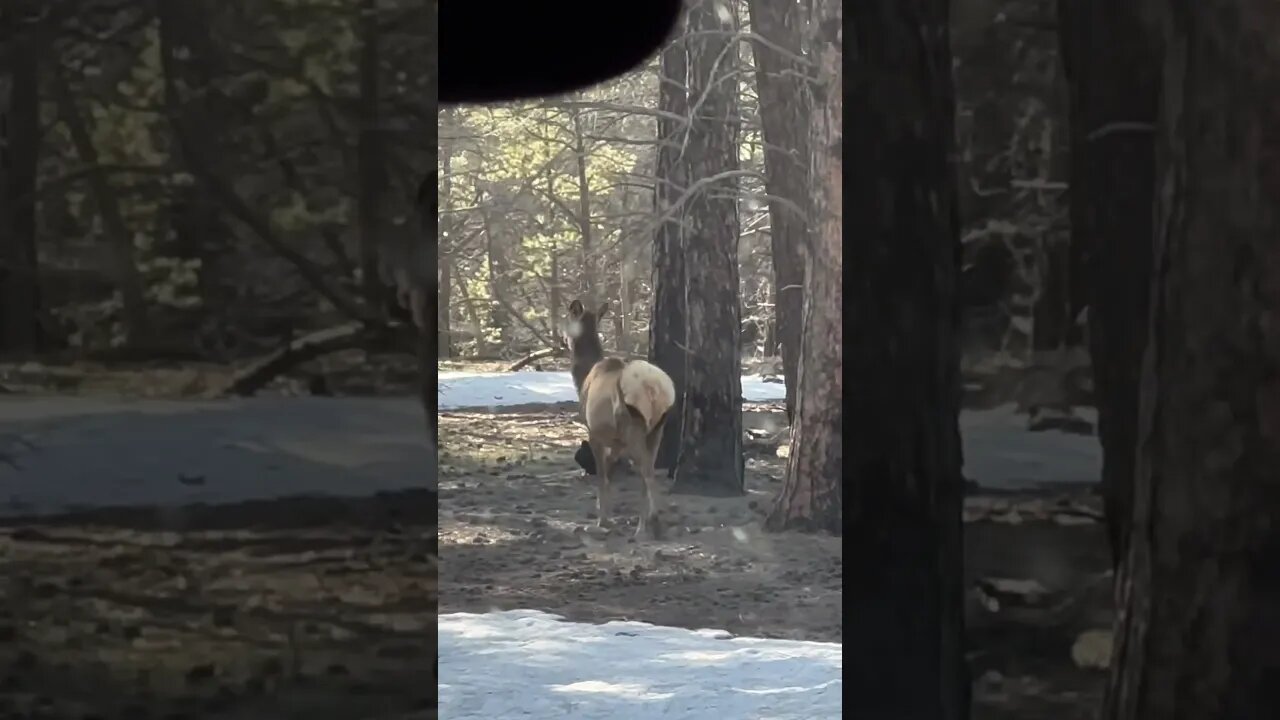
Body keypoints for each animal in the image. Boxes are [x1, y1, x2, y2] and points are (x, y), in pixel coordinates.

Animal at [563, 297, 675, 538]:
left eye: (568, 320)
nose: (563, 338)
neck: (584, 378)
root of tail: (653, 389)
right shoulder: (616, 441)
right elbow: (610, 467)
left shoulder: (594, 432)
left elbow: (602, 473)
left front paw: (602, 519)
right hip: (657, 428)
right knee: (649, 469)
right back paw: (652, 521)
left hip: (632, 425)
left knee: (646, 471)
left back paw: (646, 525)